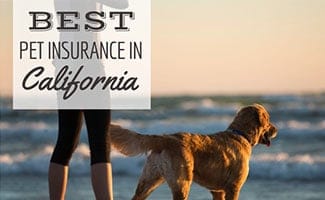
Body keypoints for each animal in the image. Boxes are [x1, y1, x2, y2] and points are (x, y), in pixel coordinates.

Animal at [109, 104, 276, 199]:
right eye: (269, 120)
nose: (276, 129)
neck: (240, 134)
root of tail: (166, 138)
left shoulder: (217, 191)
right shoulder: (233, 188)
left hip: (148, 182)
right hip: (182, 183)